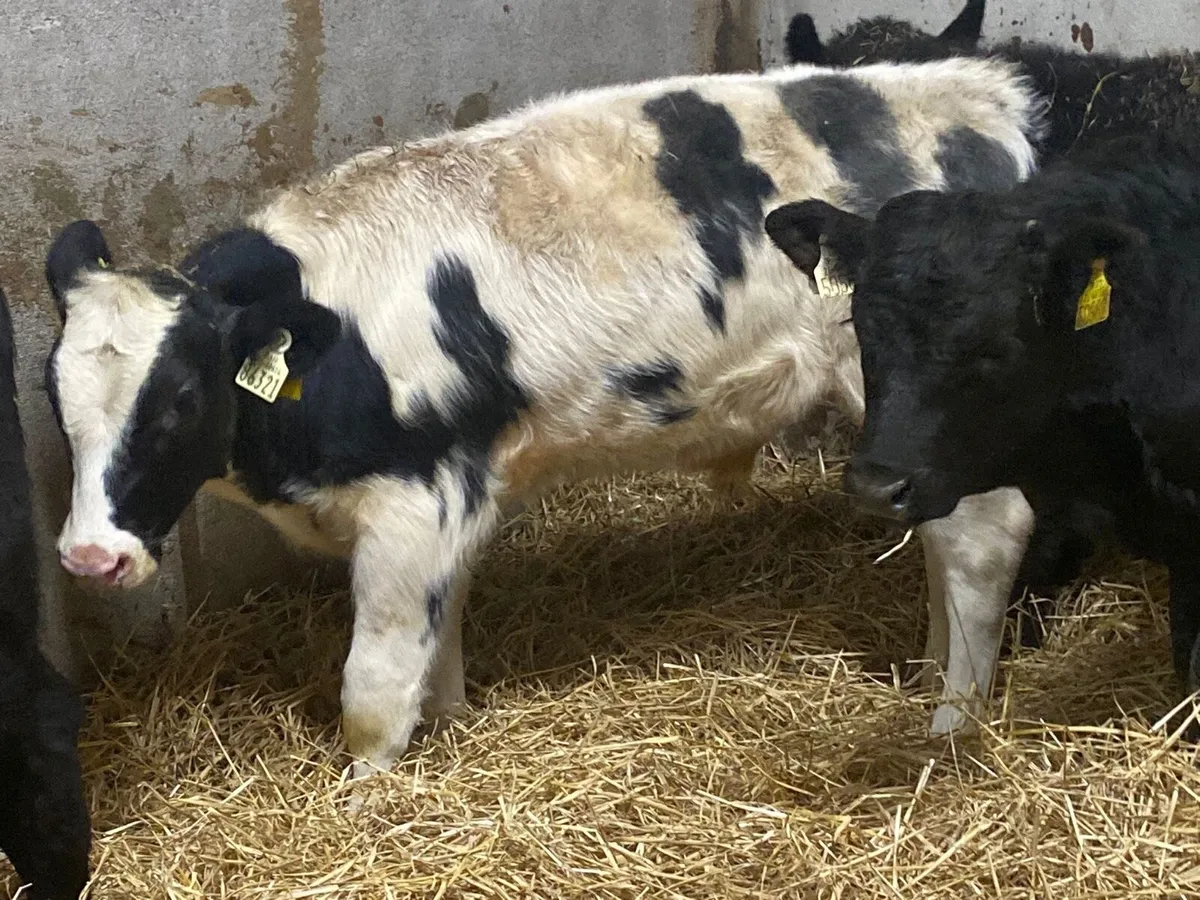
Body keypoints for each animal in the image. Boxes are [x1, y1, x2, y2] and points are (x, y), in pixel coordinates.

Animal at [45, 59, 1045, 774]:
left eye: (181, 402)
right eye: (57, 405)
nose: (91, 558)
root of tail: (980, 91)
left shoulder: (415, 501)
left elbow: (374, 690)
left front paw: (367, 801)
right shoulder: (455, 498)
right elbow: (437, 643)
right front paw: (448, 731)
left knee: (985, 536)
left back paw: (951, 721)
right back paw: (928, 673)